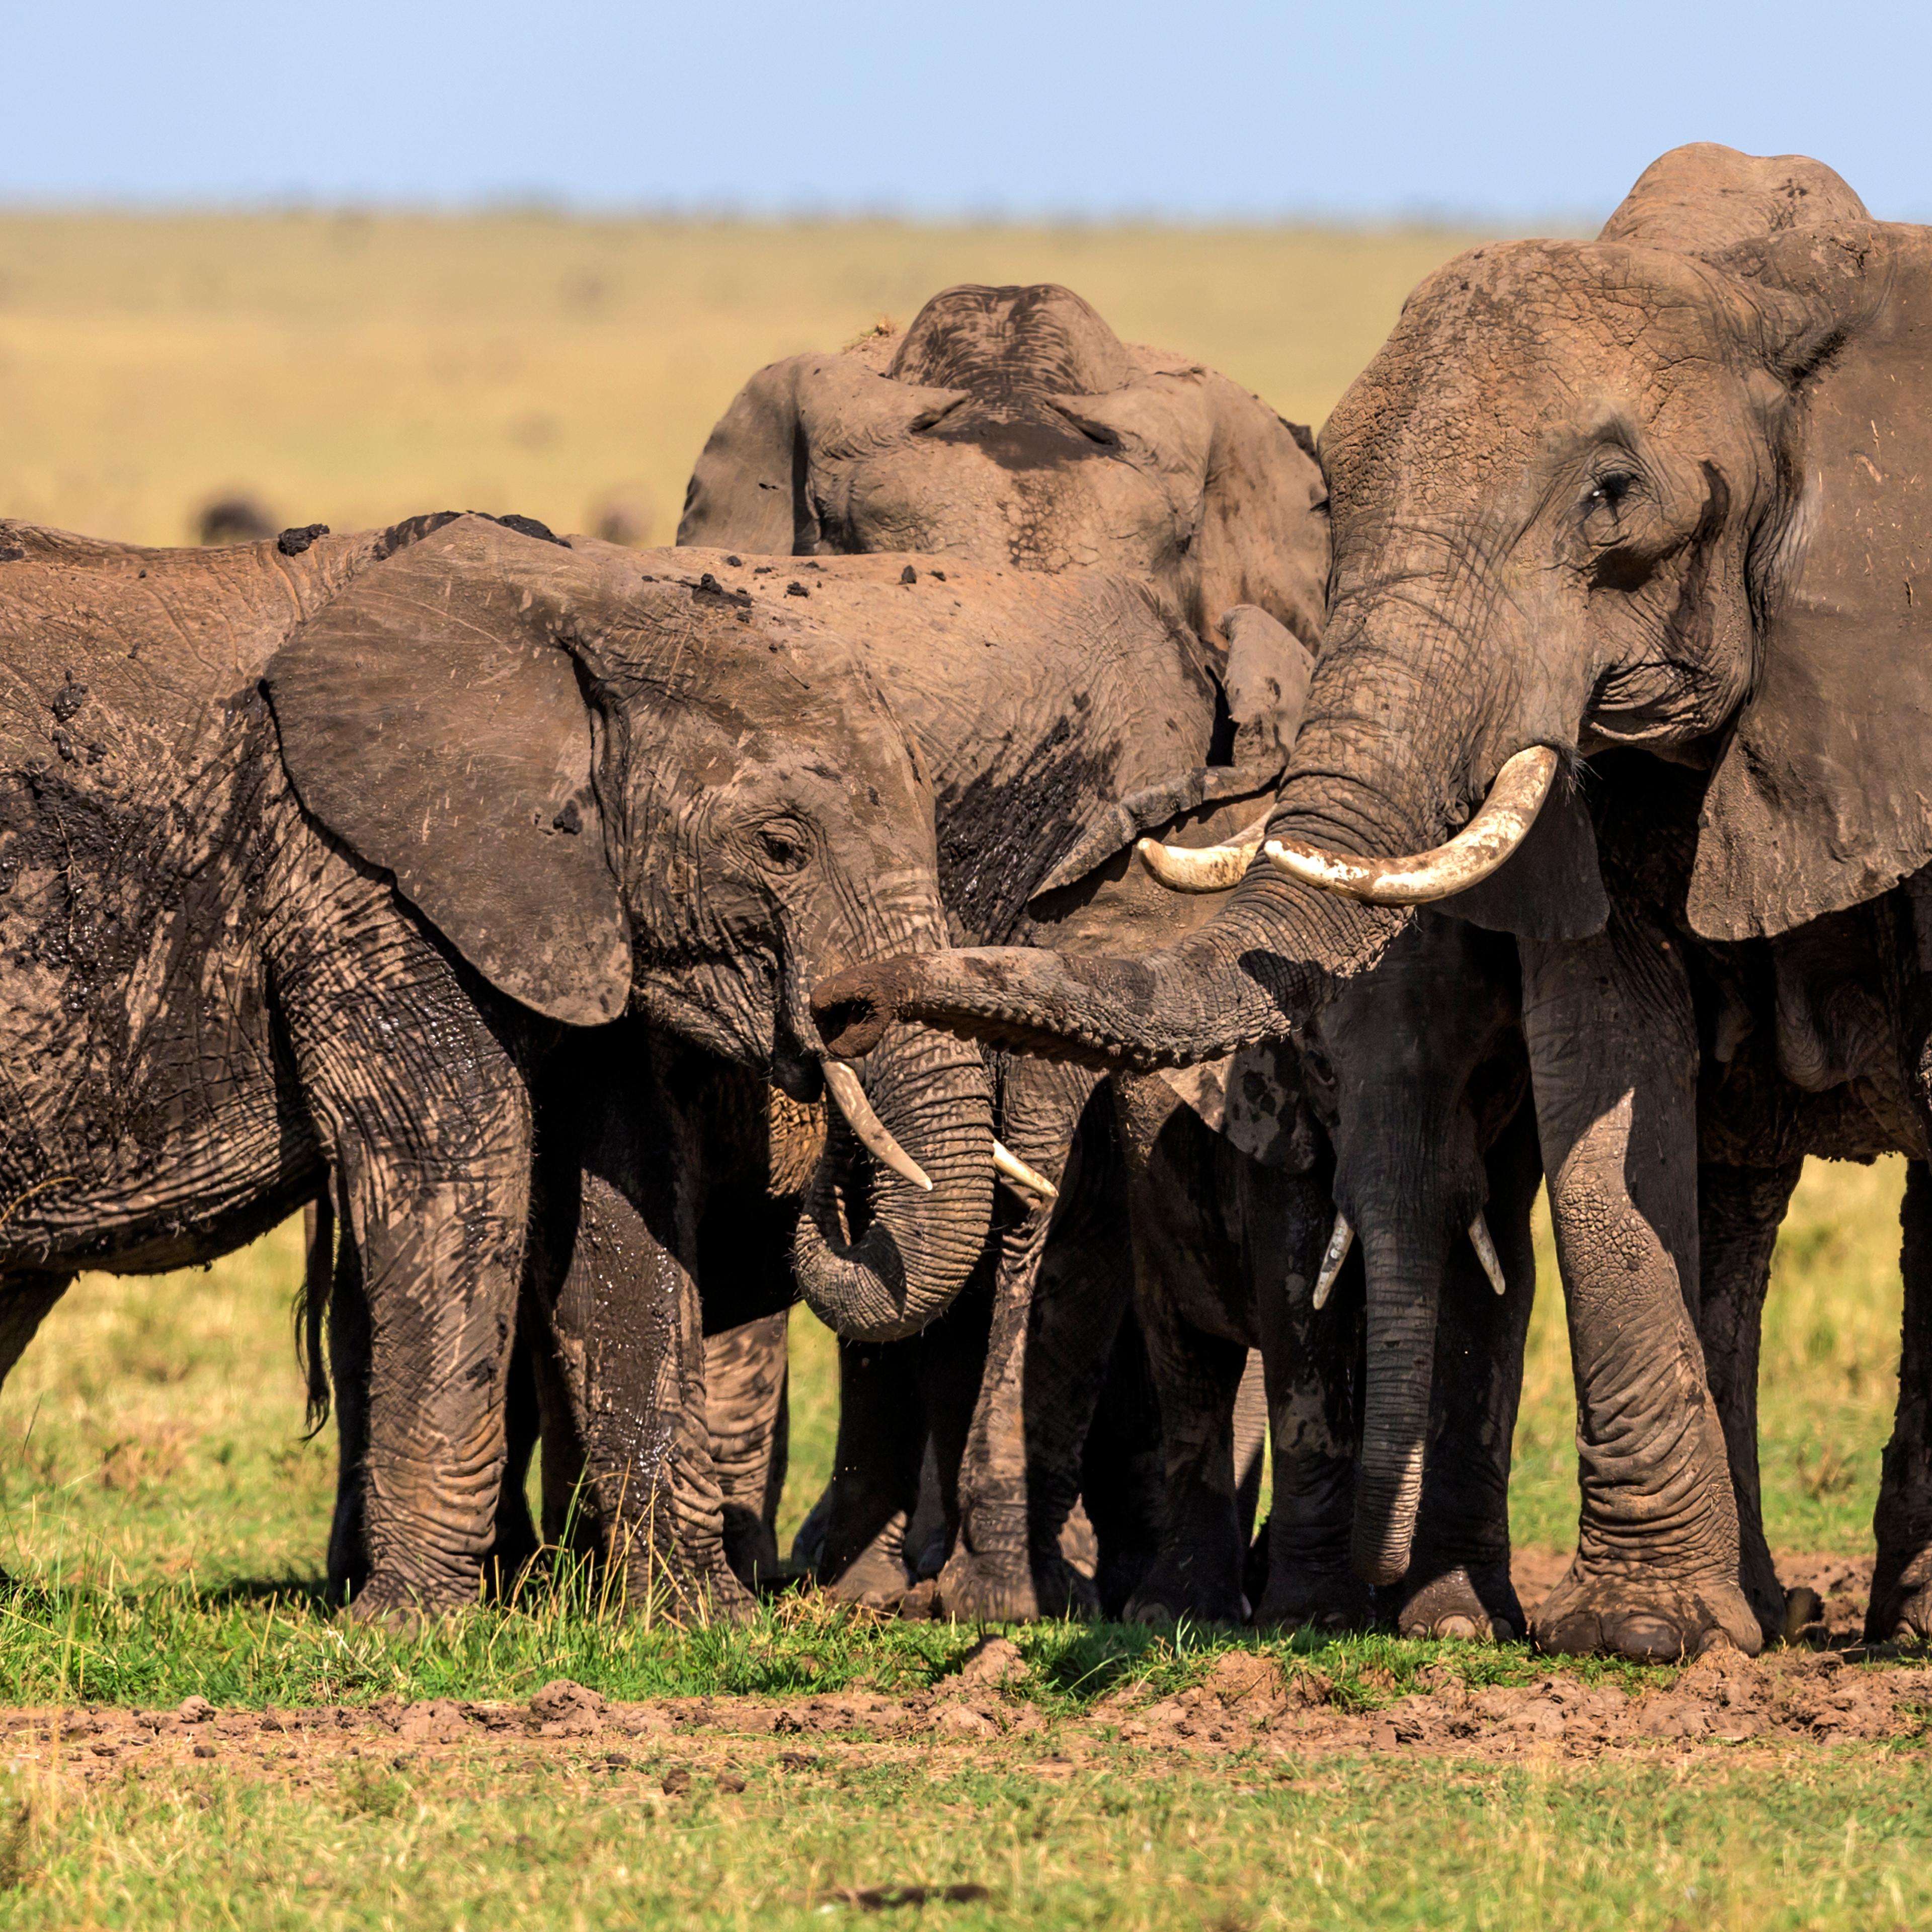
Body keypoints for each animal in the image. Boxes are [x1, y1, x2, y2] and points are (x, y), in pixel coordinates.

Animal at [0, 509, 991, 1620]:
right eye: (782, 848)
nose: (826, 1056)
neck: (570, 598)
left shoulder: (565, 903)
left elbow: (617, 1190)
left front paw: (705, 1618)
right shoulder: (357, 877)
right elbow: (457, 1158)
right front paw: (408, 1626)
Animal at [814, 142, 1932, 1658]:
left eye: (1612, 495)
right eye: (1330, 494)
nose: (834, 999)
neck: (1768, 293)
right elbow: (1604, 1080)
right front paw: (1643, 1636)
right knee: (1740, 1194)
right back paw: (1770, 1610)